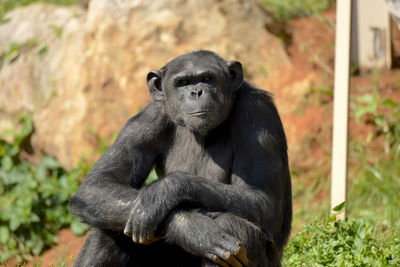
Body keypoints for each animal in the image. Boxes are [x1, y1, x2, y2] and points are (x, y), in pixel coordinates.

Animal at [70, 50, 292, 267]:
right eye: (182, 83)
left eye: (207, 78)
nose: (196, 92)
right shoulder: (145, 122)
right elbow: (98, 184)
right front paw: (193, 229)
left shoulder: (256, 113)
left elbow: (262, 200)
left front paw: (162, 191)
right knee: (107, 229)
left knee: (231, 226)